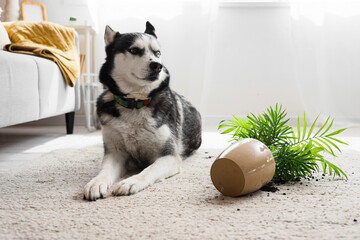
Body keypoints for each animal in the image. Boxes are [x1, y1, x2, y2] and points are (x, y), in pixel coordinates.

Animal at [83, 21, 202, 201]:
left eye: (157, 53)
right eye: (134, 50)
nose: (157, 66)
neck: (135, 103)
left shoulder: (169, 156)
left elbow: (149, 169)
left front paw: (130, 181)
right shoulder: (115, 153)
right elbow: (104, 170)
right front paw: (96, 183)